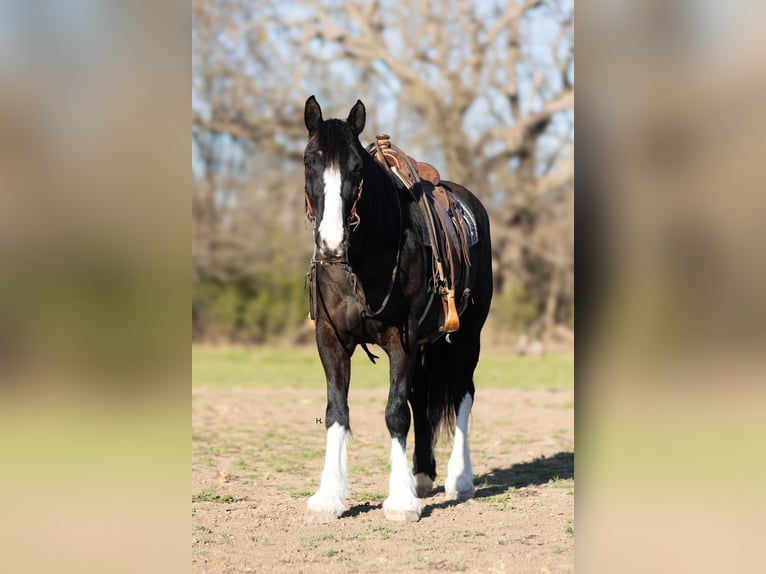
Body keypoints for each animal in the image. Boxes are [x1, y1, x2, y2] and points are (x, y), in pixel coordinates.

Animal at [301, 95, 493, 523]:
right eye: (308, 161)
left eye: (356, 168)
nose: (330, 243)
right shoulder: (330, 340)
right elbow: (337, 410)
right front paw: (328, 497)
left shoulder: (400, 342)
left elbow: (395, 413)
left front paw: (401, 502)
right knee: (421, 396)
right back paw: (422, 475)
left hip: (467, 338)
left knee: (462, 394)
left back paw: (460, 479)